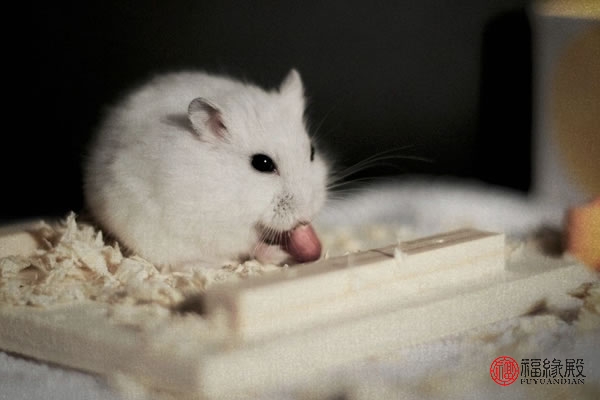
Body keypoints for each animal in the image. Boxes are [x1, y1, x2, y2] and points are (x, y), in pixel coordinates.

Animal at [84, 69, 328, 270]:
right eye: (263, 163)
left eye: (312, 152)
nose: (307, 216)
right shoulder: (216, 228)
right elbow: (249, 243)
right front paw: (278, 254)